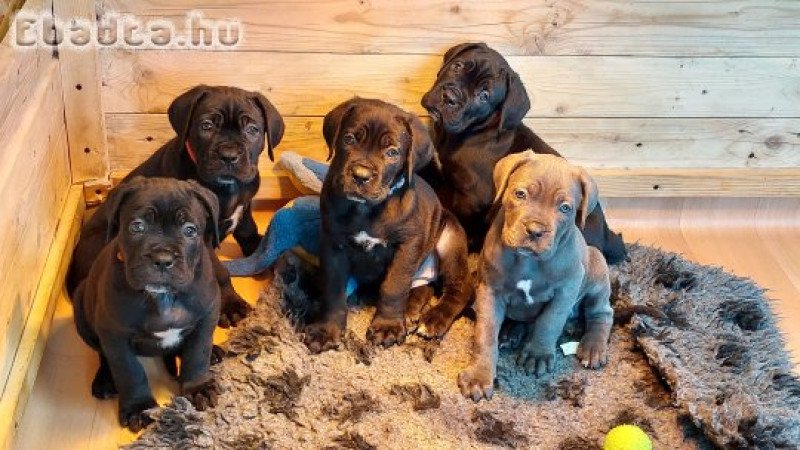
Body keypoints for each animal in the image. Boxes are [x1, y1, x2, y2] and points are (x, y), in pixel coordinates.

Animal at [68, 84, 288, 326]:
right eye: (206, 126)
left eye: (252, 130)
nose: (228, 156)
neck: (226, 188)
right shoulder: (201, 238)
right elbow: (220, 271)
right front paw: (230, 303)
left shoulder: (245, 211)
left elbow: (256, 238)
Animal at [72, 177, 222, 432]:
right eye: (137, 227)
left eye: (190, 230)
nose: (162, 259)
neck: (162, 297)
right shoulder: (115, 334)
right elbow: (129, 371)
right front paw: (138, 407)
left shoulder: (207, 316)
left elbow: (197, 353)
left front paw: (197, 386)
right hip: (82, 311)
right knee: (103, 354)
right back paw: (104, 380)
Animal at [304, 98, 472, 352]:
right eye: (349, 139)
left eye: (392, 152)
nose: (360, 175)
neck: (366, 209)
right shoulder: (333, 243)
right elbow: (333, 288)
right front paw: (326, 330)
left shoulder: (408, 244)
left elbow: (394, 285)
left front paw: (387, 327)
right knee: (424, 287)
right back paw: (411, 311)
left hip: (450, 241)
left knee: (460, 289)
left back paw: (433, 319)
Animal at [418, 42, 624, 264]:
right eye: (457, 66)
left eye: (484, 96)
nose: (450, 98)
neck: (472, 131)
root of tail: (606, 237)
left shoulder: (471, 198)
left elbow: (462, 223)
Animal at [456, 151, 612, 400]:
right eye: (520, 194)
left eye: (565, 208)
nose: (535, 230)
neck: (528, 261)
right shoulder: (489, 291)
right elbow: (485, 332)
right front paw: (479, 375)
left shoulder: (566, 290)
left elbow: (549, 321)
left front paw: (537, 354)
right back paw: (510, 333)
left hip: (596, 267)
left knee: (602, 313)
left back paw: (593, 347)